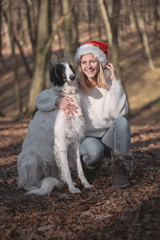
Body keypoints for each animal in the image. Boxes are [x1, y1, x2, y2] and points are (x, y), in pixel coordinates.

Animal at [16, 57, 92, 195]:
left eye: (70, 67)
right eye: (61, 70)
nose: (73, 77)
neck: (67, 96)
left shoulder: (75, 142)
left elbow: (79, 168)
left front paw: (86, 184)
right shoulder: (60, 143)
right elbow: (67, 170)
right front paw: (72, 188)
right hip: (31, 159)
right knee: (25, 184)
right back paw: (34, 187)